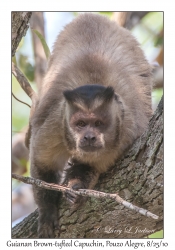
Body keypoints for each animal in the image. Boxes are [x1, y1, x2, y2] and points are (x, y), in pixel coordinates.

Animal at [28, 12, 152, 238]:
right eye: (81, 123)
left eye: (99, 123)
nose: (89, 136)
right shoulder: (55, 125)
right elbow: (43, 165)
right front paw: (47, 210)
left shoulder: (125, 134)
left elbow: (90, 167)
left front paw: (77, 186)